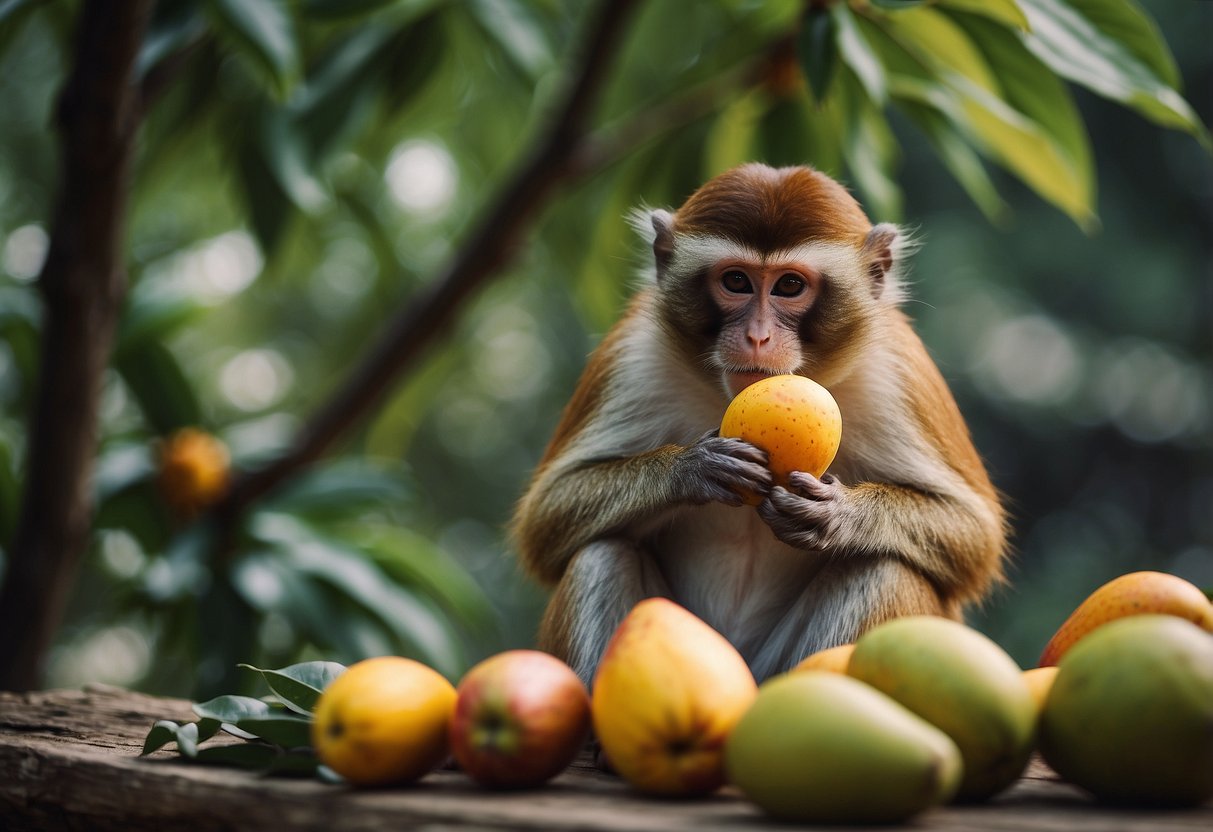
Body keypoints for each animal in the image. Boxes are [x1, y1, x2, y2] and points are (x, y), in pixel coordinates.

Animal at [511, 164, 1004, 688]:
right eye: (736, 281)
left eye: (788, 286)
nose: (757, 337)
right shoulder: (631, 350)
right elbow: (546, 519)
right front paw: (692, 470)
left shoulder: (898, 370)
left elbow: (973, 535)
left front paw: (838, 516)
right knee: (600, 554)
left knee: (886, 567)